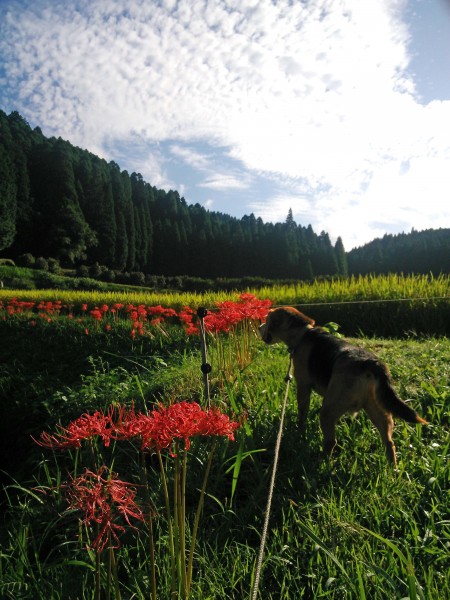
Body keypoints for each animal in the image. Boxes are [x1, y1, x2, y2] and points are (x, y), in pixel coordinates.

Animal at [258, 304, 428, 464]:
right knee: (389, 442)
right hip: (379, 411)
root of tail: (371, 363)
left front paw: (300, 432)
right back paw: (392, 469)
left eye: (267, 320)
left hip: (328, 411)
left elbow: (302, 414)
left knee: (331, 441)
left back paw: (322, 462)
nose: (259, 327)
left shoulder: (303, 386)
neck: (302, 334)